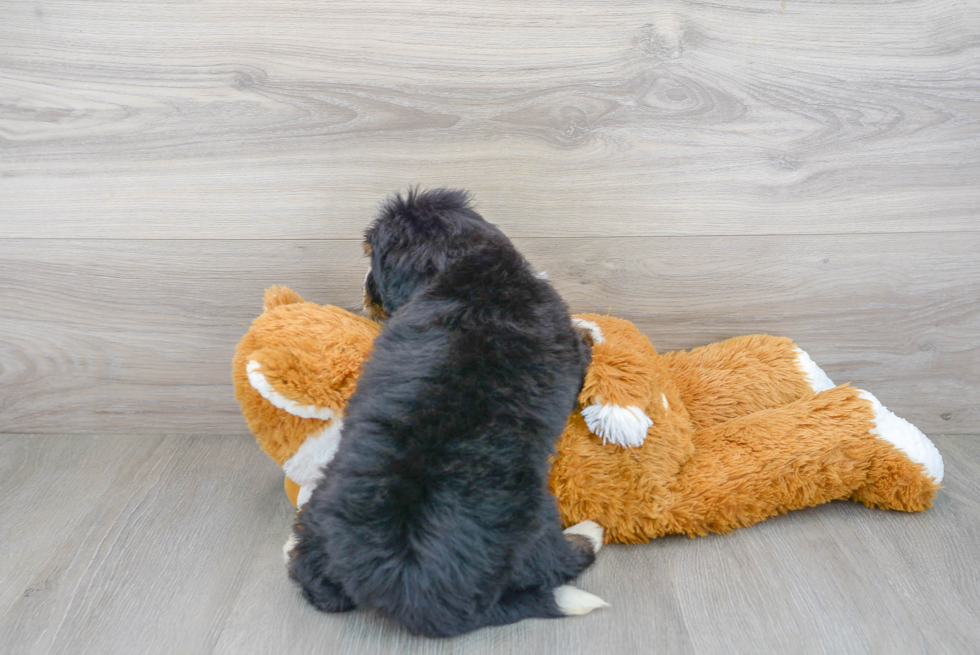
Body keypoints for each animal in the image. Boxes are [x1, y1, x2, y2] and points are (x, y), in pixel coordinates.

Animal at [284, 188, 604, 636]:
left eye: (371, 260)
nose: (365, 291)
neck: (465, 265)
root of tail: (405, 581)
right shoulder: (571, 354)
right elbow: (581, 344)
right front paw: (589, 329)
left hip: (319, 515)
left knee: (312, 578)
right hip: (535, 524)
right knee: (559, 562)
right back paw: (589, 532)